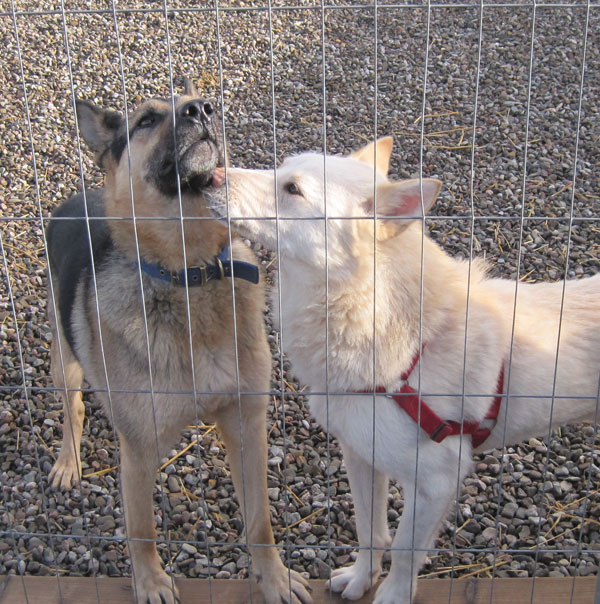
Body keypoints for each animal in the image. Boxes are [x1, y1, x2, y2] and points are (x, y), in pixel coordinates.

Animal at [45, 80, 310, 604]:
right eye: (146, 120)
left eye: (199, 103)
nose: (202, 109)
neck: (190, 273)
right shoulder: (138, 452)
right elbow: (141, 529)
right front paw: (150, 583)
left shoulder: (246, 424)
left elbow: (260, 520)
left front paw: (273, 578)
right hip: (63, 360)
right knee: (74, 407)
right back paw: (68, 460)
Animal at [207, 139, 600, 604]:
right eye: (280, 168)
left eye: (292, 189)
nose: (208, 176)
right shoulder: (360, 453)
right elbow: (370, 532)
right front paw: (361, 580)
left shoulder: (435, 481)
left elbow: (405, 549)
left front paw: (392, 594)